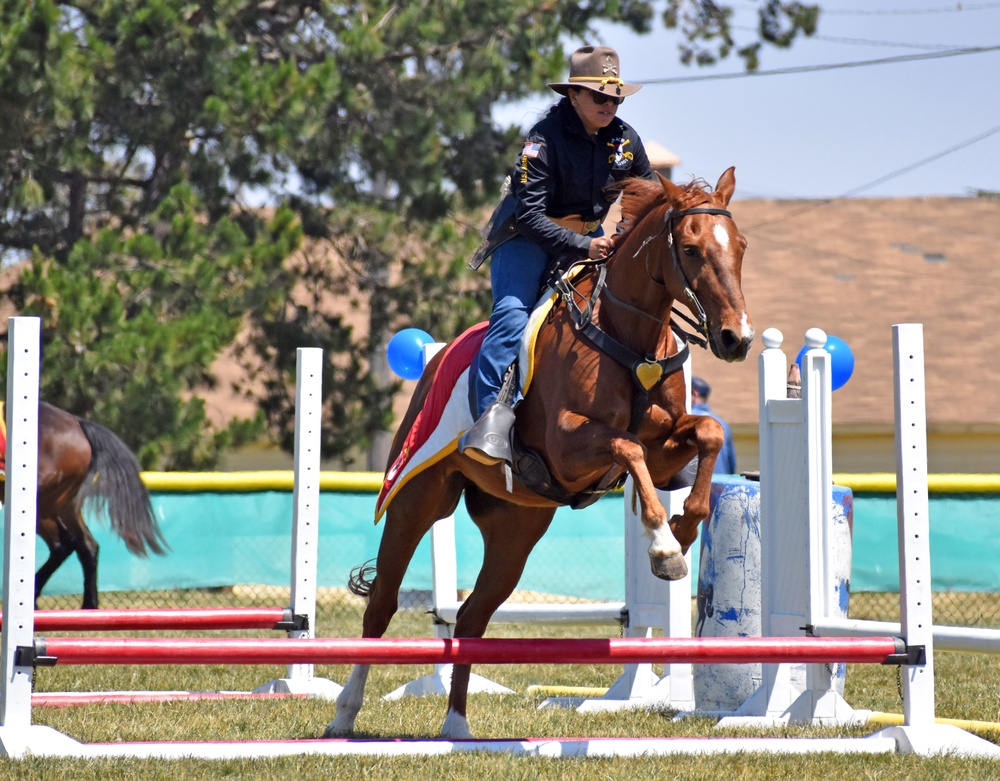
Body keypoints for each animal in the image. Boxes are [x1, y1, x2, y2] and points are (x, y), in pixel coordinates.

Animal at [0, 400, 169, 608]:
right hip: (65, 506)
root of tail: (78, 423)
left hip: (44, 503)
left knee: (63, 544)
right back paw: (88, 604)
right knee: (85, 544)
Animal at [324, 165, 752, 736]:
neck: (627, 336)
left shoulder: (666, 448)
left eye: (740, 246)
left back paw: (457, 727)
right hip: (417, 500)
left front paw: (683, 532)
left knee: (472, 618)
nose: (736, 340)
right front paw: (663, 546)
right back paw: (344, 715)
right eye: (690, 248)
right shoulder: (569, 448)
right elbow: (627, 447)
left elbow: (705, 434)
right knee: (382, 605)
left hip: (516, 530)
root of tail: (436, 362)